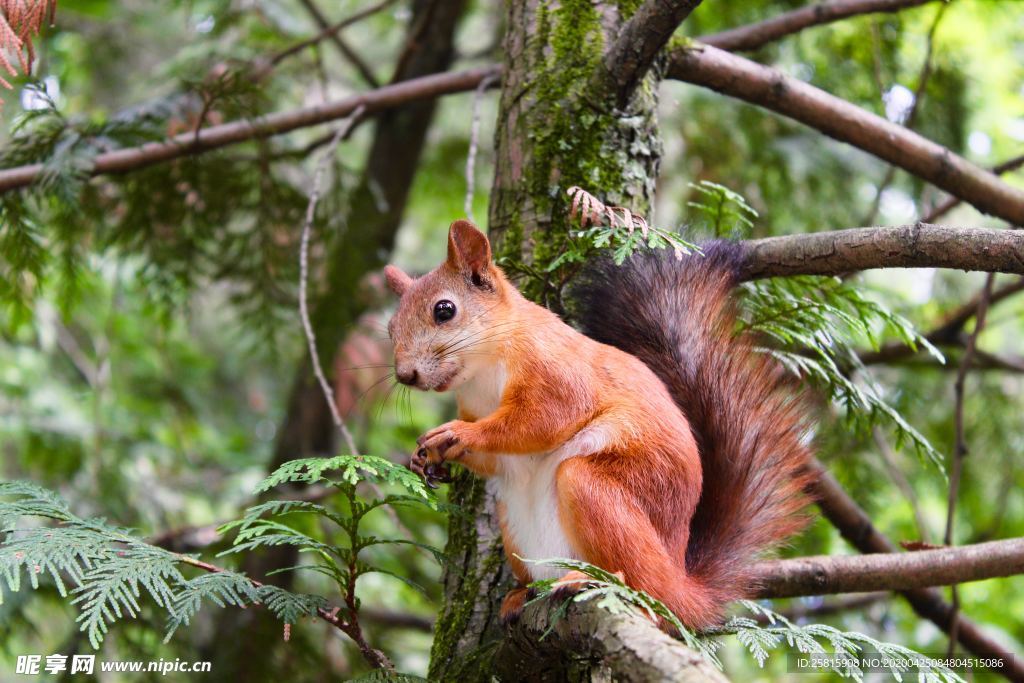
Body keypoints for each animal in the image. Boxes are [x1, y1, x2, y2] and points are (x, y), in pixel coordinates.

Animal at [385, 219, 815, 630]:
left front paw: (458, 434)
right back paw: (521, 594)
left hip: (599, 491)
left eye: (444, 310)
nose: (405, 375)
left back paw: (592, 580)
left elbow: (540, 421)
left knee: (645, 589)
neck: (484, 371)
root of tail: (681, 584)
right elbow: (496, 459)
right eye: (390, 328)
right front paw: (427, 458)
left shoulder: (557, 372)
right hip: (515, 525)